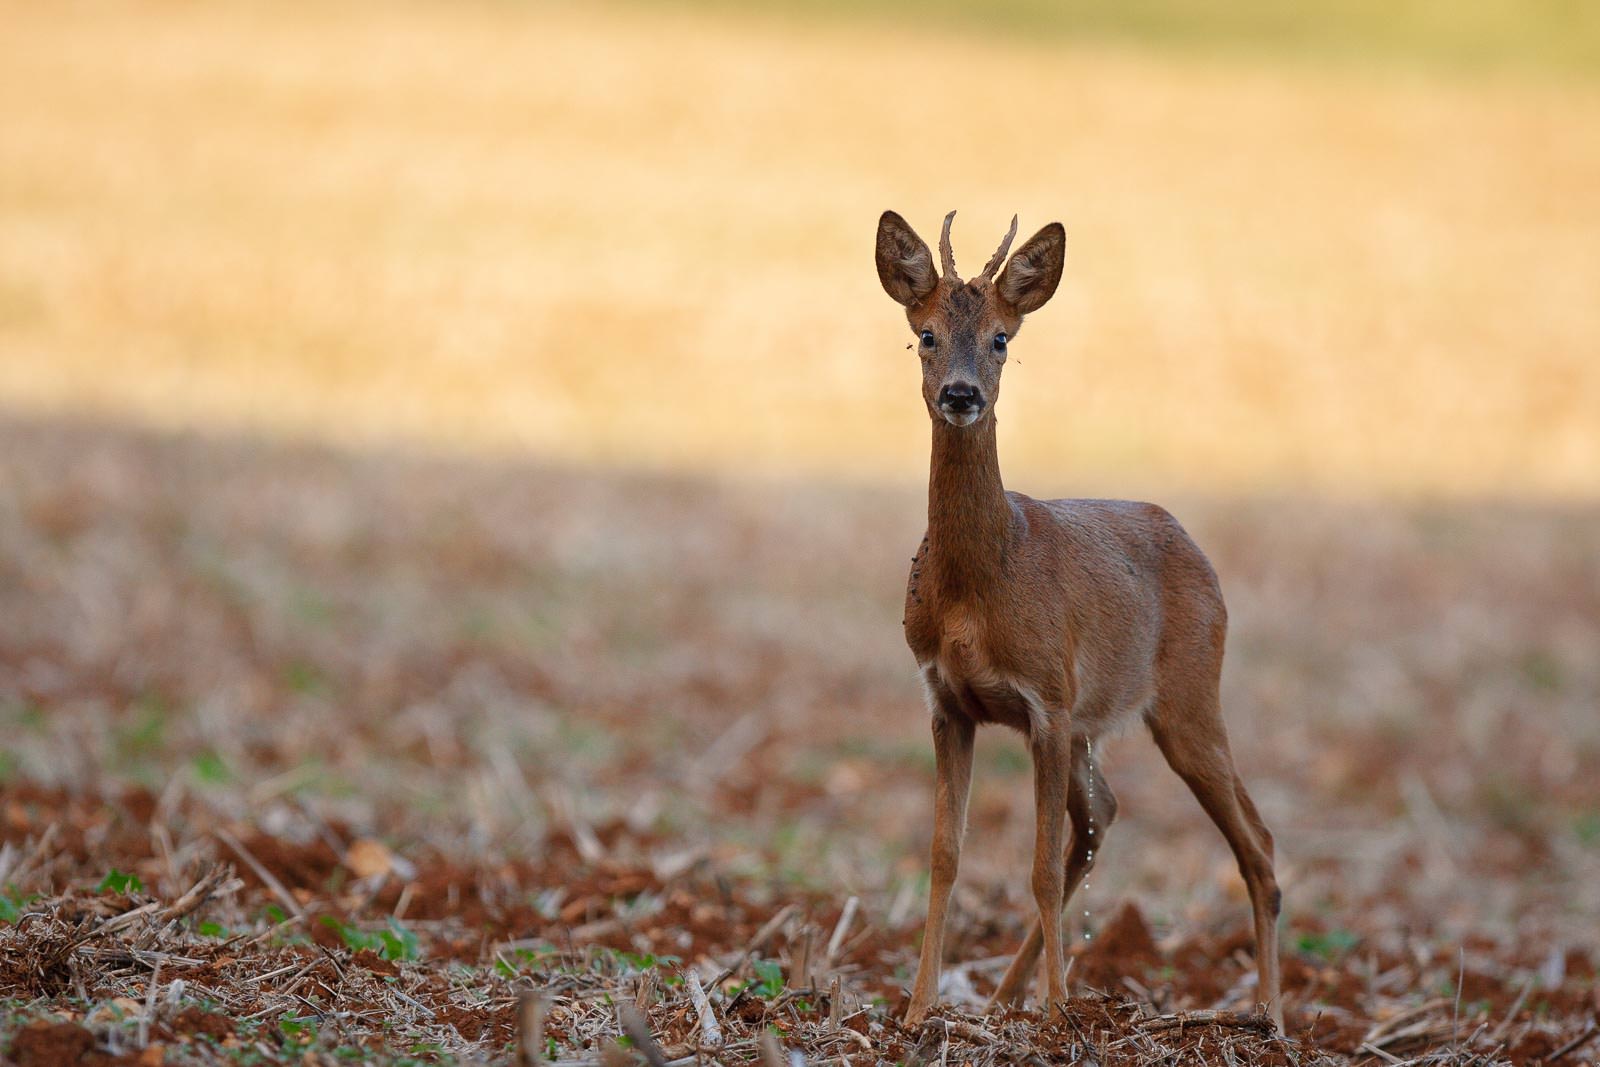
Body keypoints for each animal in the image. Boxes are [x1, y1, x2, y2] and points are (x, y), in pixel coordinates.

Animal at [875, 210, 1282, 1031]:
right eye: (926, 332)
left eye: (1002, 337)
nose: (962, 393)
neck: (979, 587)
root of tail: (1194, 546)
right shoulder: (947, 699)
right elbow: (945, 854)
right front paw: (918, 1009)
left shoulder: (1048, 697)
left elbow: (1032, 862)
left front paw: (1061, 1011)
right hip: (1103, 723)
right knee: (1104, 816)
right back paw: (1007, 996)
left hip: (1188, 696)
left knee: (1256, 844)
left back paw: (1270, 1017)